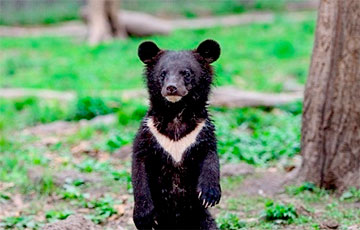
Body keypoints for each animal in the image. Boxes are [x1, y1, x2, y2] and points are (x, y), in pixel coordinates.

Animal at [132, 39, 222, 230]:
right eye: (163, 73)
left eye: (186, 73)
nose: (171, 88)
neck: (175, 115)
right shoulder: (148, 134)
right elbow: (139, 167)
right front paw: (144, 216)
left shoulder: (202, 132)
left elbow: (210, 157)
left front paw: (209, 195)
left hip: (201, 218)